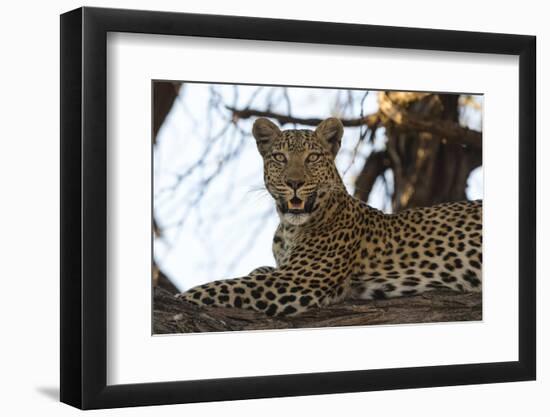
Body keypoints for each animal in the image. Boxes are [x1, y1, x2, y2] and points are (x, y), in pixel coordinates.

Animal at [178, 116, 484, 316]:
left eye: (312, 157)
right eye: (279, 157)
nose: (294, 182)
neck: (289, 228)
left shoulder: (296, 280)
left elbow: (218, 287)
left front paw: (181, 297)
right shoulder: (285, 271)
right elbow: (256, 271)